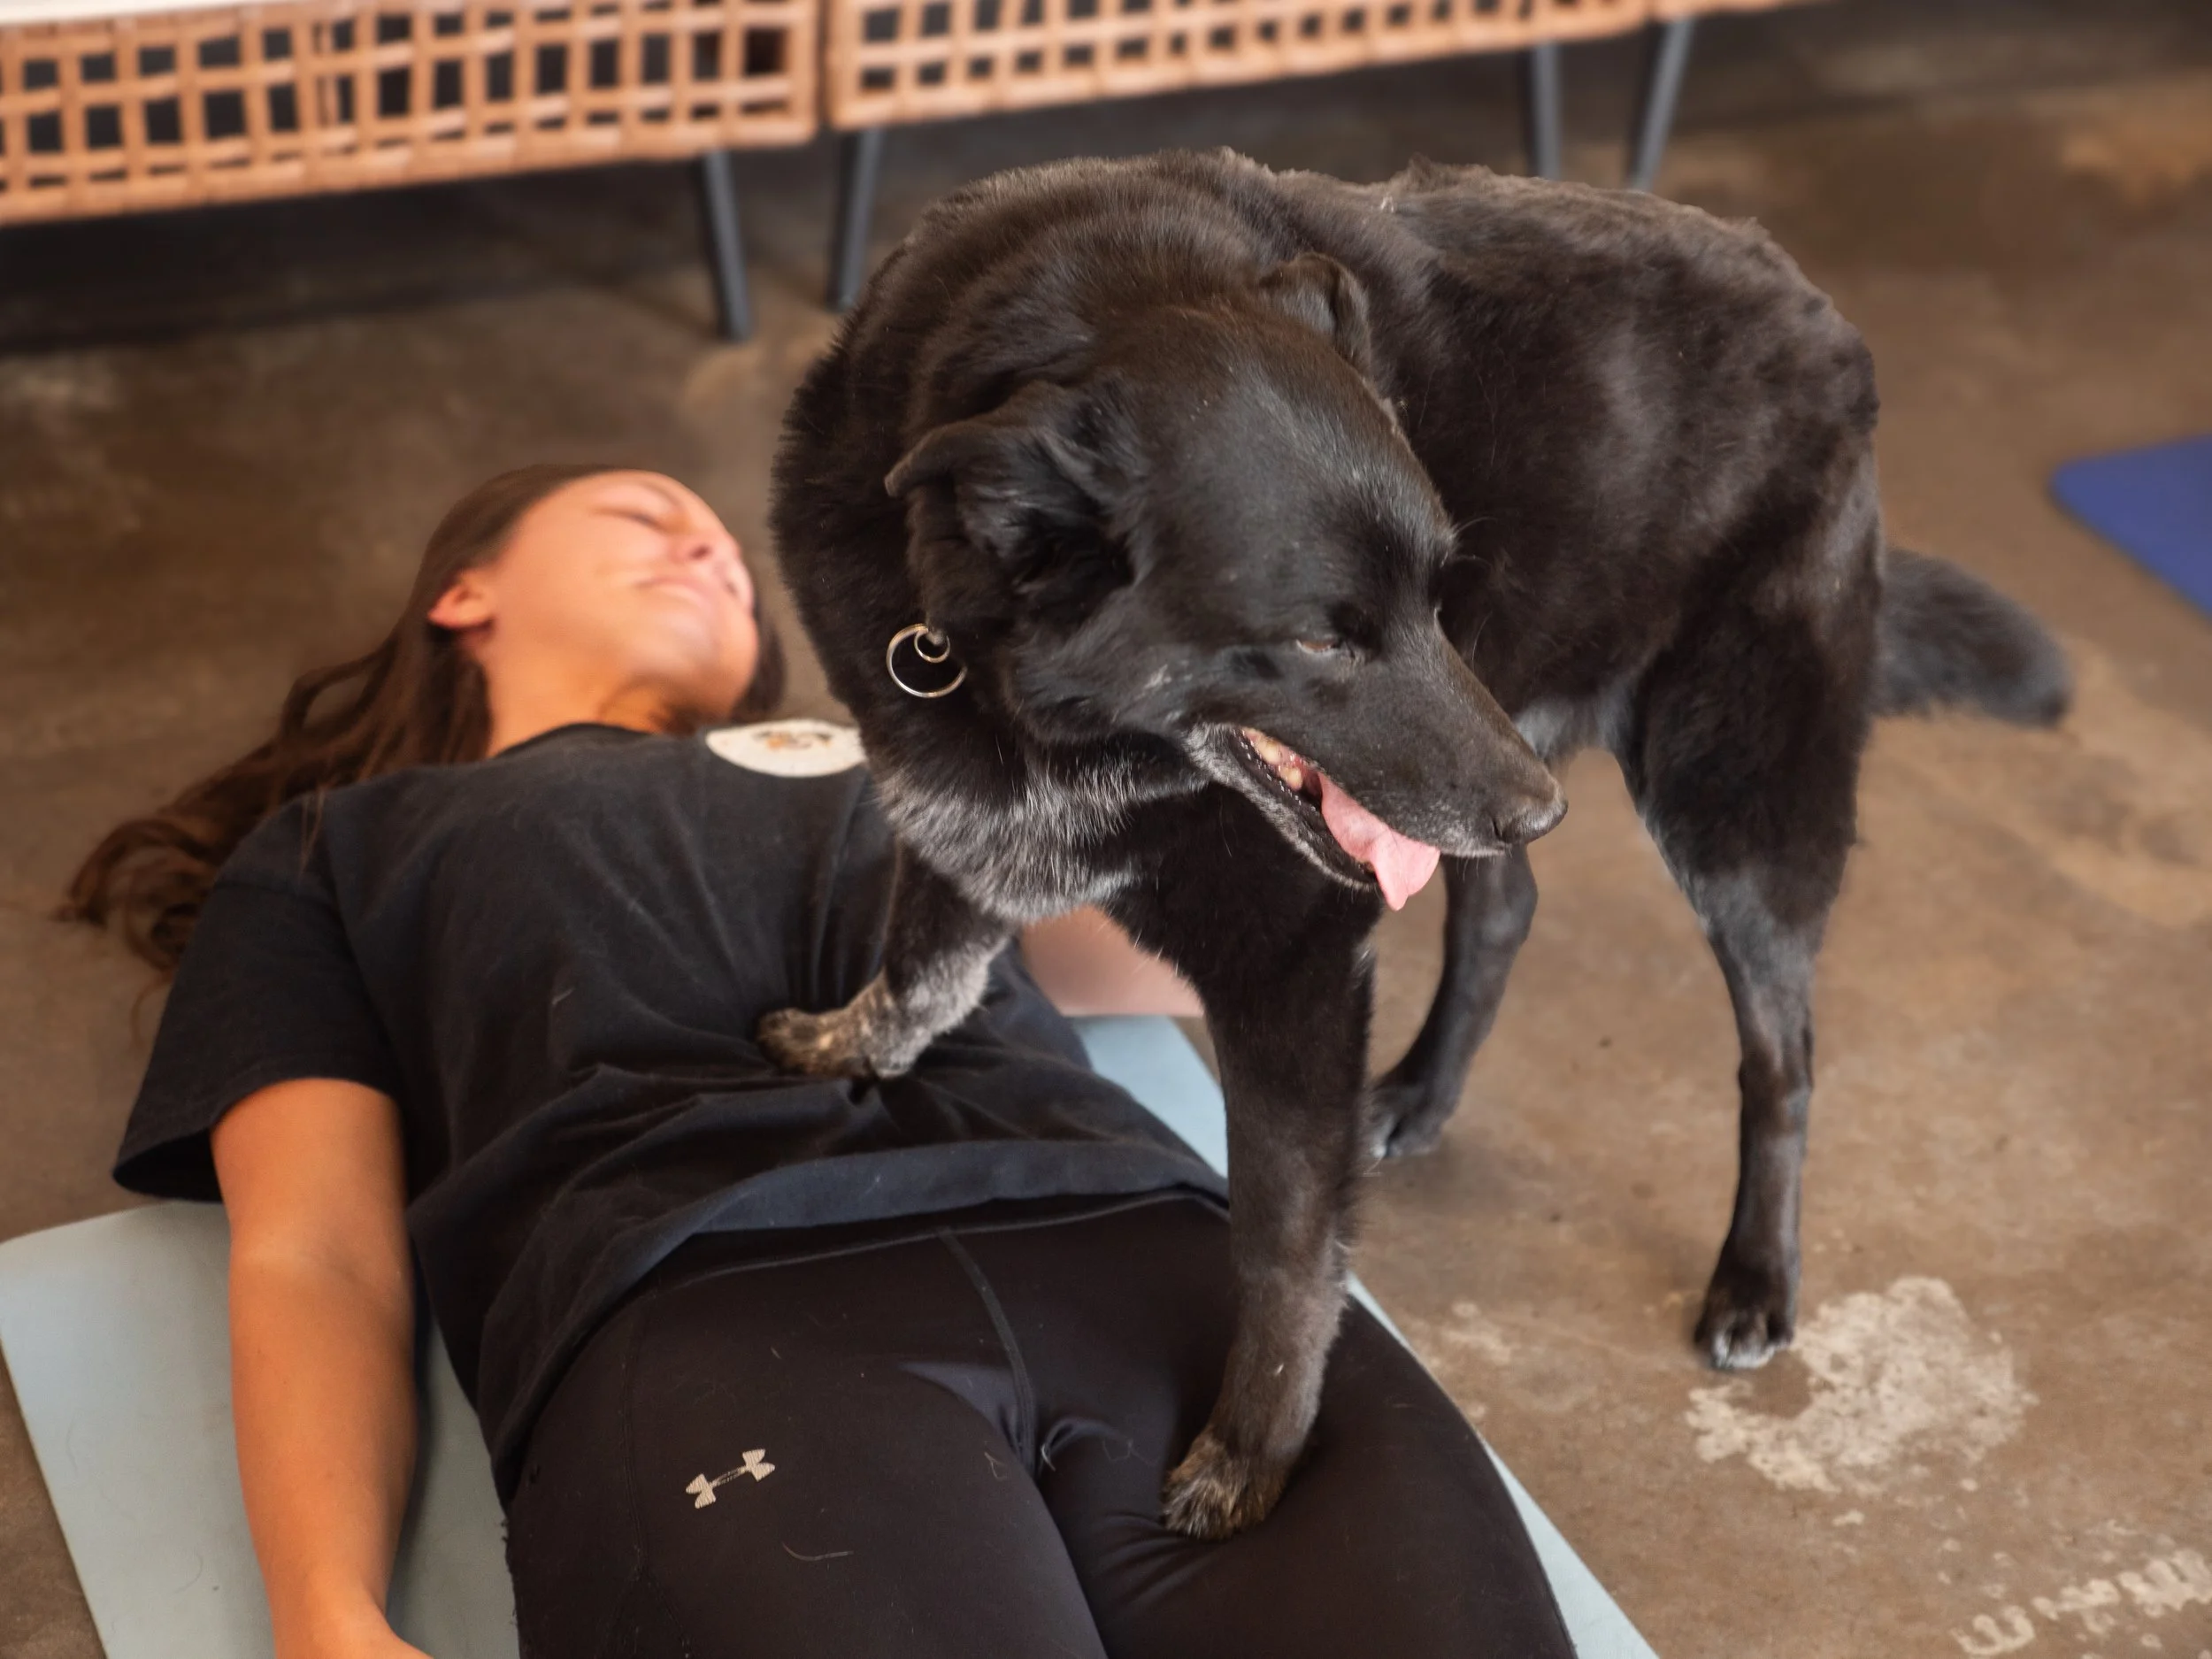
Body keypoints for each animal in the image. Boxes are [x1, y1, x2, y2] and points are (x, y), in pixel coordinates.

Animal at [760, 149, 2069, 1539]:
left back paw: (1755, 1277)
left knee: (1784, 1055)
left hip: (1721, 807)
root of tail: (1814, 300)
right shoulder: (967, 817)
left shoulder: (1292, 972)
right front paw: (842, 1047)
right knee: (1505, 908)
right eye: (1321, 639)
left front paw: (1254, 1449)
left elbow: (1283, 1241)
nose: (1540, 806)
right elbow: (921, 970)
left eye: (1439, 592)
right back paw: (1427, 1088)